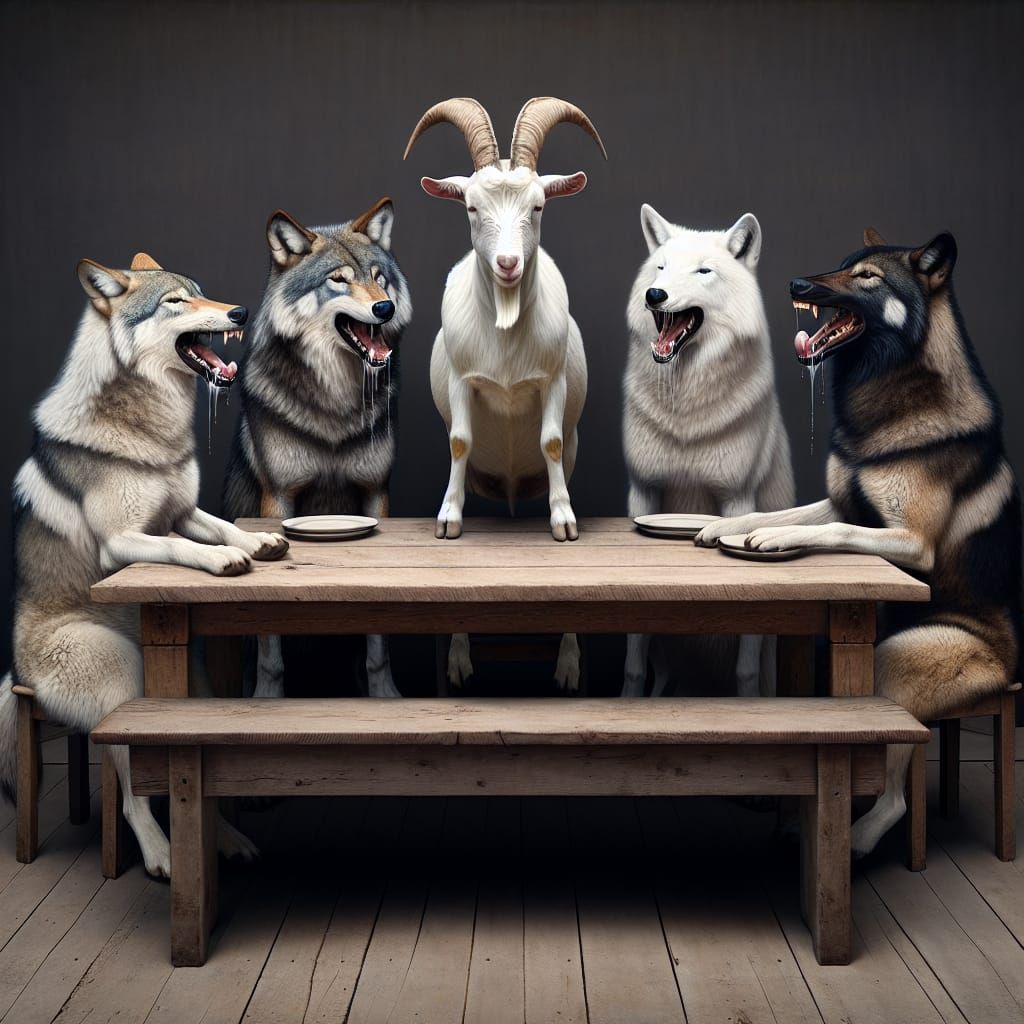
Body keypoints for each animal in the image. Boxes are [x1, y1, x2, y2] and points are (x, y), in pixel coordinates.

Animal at [0, 253, 289, 878]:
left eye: (203, 292)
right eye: (175, 303)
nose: (240, 312)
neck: (146, 425)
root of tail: (18, 679)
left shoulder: (181, 510)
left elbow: (216, 524)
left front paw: (258, 542)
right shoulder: (123, 542)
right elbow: (184, 548)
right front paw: (227, 559)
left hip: (195, 679)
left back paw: (227, 839)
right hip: (120, 673)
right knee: (132, 790)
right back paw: (161, 857)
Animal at [223, 199, 412, 698]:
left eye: (378, 276)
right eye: (338, 280)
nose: (384, 307)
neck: (334, 405)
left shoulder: (376, 493)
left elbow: (378, 641)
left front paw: (384, 693)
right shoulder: (278, 500)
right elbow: (270, 646)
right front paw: (267, 698)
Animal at [405, 96, 606, 689]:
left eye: (538, 206)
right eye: (471, 208)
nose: (509, 264)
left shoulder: (553, 381)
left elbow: (551, 443)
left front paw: (563, 521)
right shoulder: (461, 379)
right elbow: (460, 441)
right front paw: (448, 519)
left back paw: (567, 665)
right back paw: (458, 661)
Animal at [622, 207, 795, 698]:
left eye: (703, 272)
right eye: (661, 268)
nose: (655, 295)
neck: (687, 414)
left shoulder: (738, 499)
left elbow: (746, 668)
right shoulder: (642, 493)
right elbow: (634, 660)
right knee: (662, 673)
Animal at [697, 228, 1022, 855]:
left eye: (867, 278)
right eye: (841, 264)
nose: (796, 283)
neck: (891, 391)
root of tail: (1010, 677)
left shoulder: (910, 541)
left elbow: (834, 529)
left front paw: (769, 539)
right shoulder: (843, 499)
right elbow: (792, 511)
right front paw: (735, 526)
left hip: (895, 659)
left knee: (896, 795)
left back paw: (852, 839)